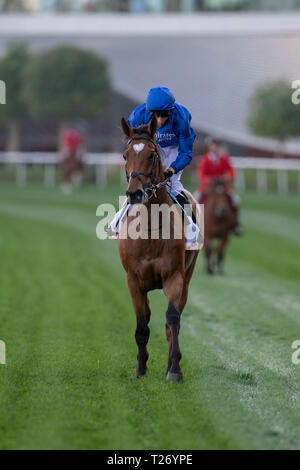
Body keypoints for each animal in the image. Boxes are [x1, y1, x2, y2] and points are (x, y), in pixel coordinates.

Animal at [118, 115, 199, 384]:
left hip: (188, 276)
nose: (135, 193)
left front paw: (174, 369)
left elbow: (172, 318)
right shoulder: (133, 280)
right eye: (125, 155)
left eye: (152, 154)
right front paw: (141, 369)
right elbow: (142, 324)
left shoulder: (174, 276)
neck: (151, 229)